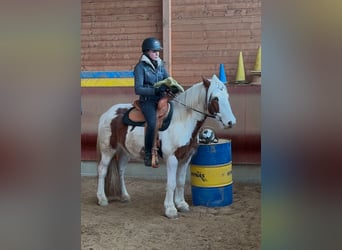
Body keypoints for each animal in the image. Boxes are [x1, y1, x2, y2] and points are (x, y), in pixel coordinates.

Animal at [95, 74, 235, 219]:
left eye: (227, 96)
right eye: (215, 98)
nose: (230, 122)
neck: (182, 120)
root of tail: (107, 114)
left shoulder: (186, 158)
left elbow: (180, 181)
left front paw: (181, 204)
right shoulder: (172, 158)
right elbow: (171, 183)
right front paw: (170, 209)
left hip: (123, 151)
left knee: (121, 171)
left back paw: (124, 196)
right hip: (108, 150)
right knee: (102, 170)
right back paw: (102, 198)